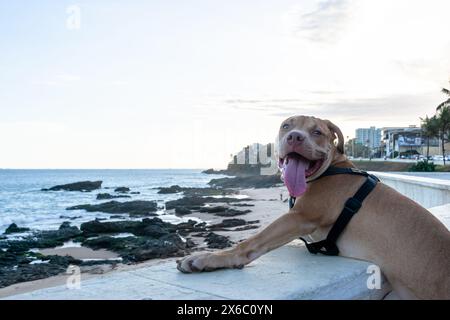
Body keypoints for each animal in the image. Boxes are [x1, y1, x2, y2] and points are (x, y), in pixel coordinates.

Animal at [177, 115, 450, 300]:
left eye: (317, 131)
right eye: (286, 126)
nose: (295, 137)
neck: (332, 168)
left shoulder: (299, 217)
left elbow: (251, 242)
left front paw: (212, 258)